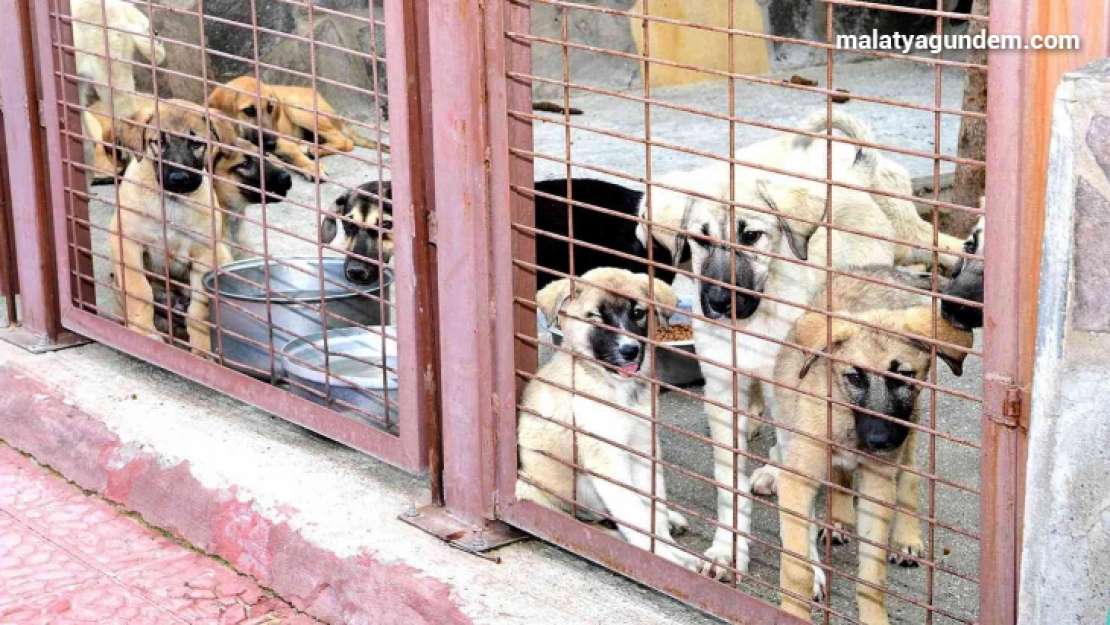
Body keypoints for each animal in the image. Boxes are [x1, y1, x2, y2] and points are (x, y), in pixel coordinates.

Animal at [209, 76, 388, 180]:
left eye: (270, 107)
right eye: (249, 111)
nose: (271, 144)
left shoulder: (283, 142)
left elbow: (296, 156)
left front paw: (312, 168)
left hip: (296, 106)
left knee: (345, 141)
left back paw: (315, 150)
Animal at [517, 268, 692, 572]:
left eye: (637, 313)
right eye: (596, 317)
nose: (630, 351)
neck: (616, 390)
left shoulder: (644, 447)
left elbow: (652, 509)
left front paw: (666, 544)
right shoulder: (606, 458)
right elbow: (634, 515)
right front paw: (666, 560)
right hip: (533, 488)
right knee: (599, 529)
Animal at [763, 274, 972, 625]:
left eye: (903, 375)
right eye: (854, 377)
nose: (880, 442)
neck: (847, 419)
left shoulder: (878, 483)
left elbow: (872, 577)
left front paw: (874, 617)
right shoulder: (797, 478)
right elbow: (797, 569)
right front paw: (793, 610)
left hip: (910, 427)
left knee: (910, 473)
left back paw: (905, 538)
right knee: (840, 477)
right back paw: (839, 521)